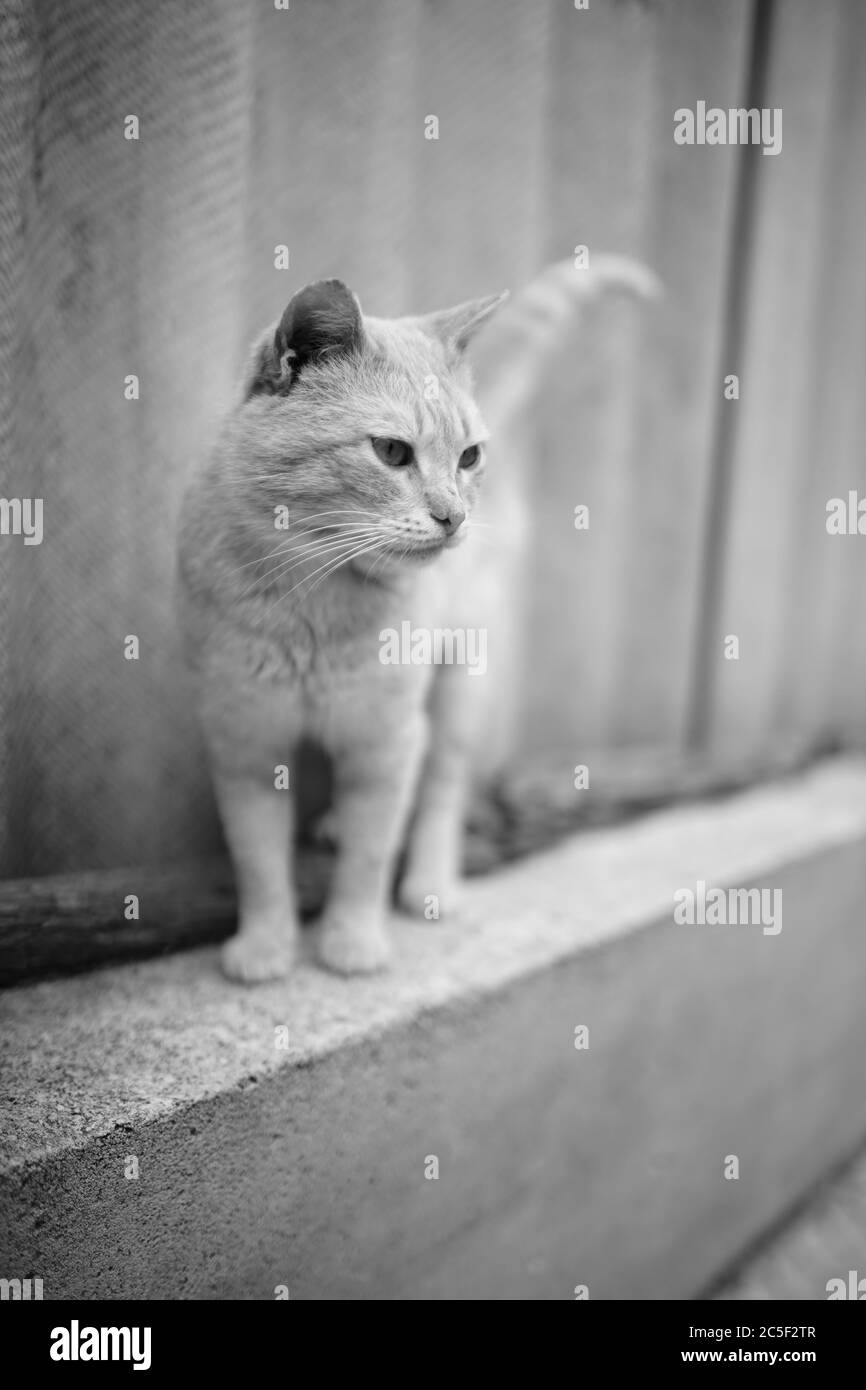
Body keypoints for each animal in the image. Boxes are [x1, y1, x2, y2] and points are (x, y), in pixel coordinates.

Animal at [176, 255, 653, 984]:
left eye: (468, 457)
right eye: (393, 453)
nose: (453, 516)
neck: (314, 601)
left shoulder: (388, 738)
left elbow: (369, 857)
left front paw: (350, 943)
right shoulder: (244, 743)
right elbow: (258, 862)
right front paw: (265, 948)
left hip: (459, 691)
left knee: (442, 791)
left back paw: (430, 884)